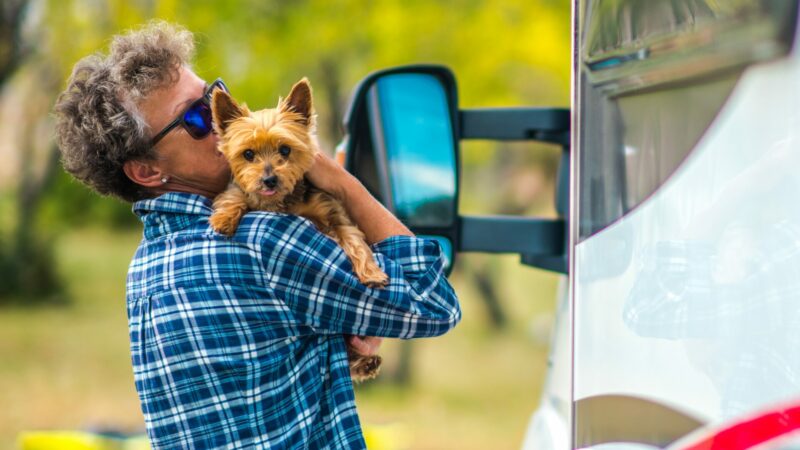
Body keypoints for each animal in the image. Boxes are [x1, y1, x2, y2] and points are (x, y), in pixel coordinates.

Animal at [209, 79, 388, 382]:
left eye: (285, 150)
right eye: (248, 154)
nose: (269, 179)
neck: (282, 201)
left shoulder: (334, 212)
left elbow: (353, 241)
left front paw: (372, 273)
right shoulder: (246, 191)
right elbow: (236, 194)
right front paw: (224, 218)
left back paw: (364, 362)